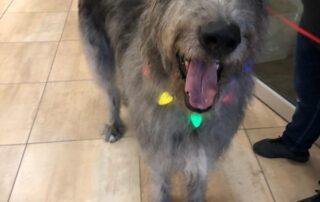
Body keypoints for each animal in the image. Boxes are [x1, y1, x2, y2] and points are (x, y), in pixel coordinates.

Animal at [79, 0, 266, 200]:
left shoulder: (200, 159)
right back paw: (113, 124)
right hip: (100, 55)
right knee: (111, 91)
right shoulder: (159, 157)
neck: (191, 113)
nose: (222, 36)